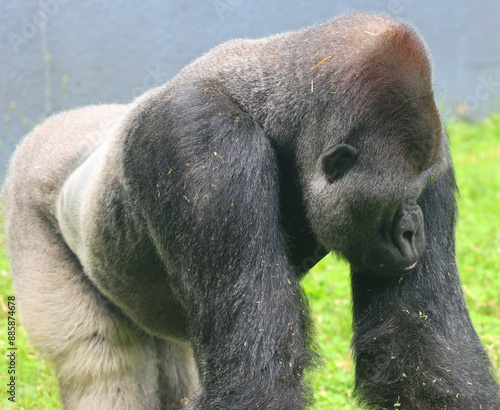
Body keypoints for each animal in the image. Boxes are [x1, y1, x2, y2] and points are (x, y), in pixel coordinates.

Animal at [3, 11, 500, 408]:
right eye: (398, 202)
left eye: (423, 191)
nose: (414, 232)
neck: (270, 104)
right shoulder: (202, 139)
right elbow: (258, 373)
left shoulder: (436, 142)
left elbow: (423, 346)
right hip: (26, 198)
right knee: (101, 364)